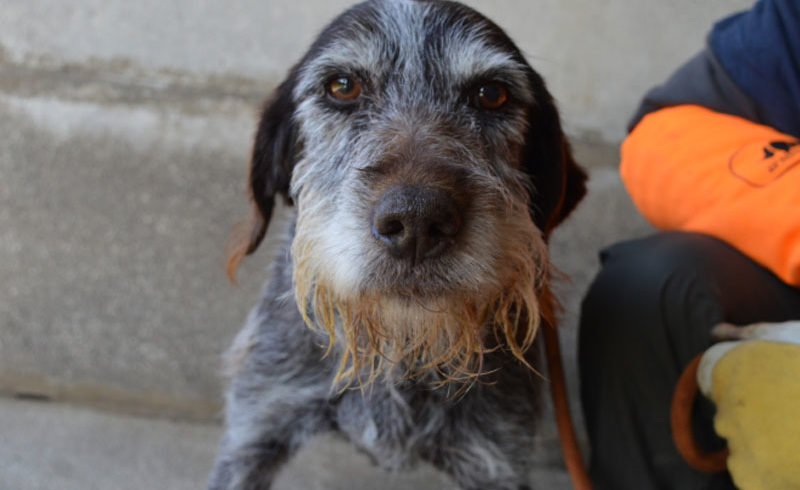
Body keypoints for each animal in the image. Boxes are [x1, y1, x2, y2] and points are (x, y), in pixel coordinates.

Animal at [209, 1, 588, 488]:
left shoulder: (495, 460)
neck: (399, 351)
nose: (416, 222)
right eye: (342, 87)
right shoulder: (256, 425)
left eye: (491, 94)